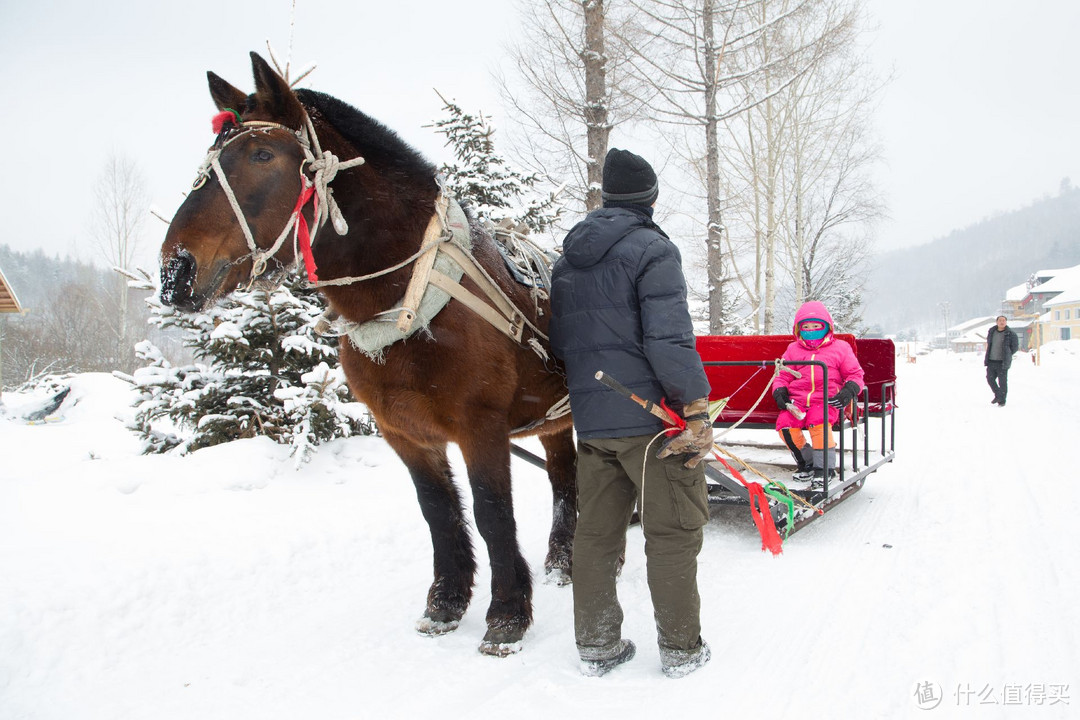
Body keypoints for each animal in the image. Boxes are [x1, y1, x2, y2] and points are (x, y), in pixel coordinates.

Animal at [157, 53, 574, 656]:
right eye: (209, 159)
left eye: (262, 155)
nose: (176, 271)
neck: (408, 299)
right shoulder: (403, 432)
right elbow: (439, 513)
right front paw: (446, 602)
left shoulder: (482, 427)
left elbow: (493, 515)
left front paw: (507, 614)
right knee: (565, 477)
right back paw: (564, 560)